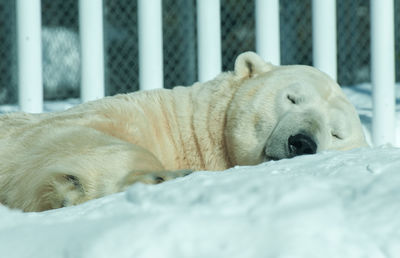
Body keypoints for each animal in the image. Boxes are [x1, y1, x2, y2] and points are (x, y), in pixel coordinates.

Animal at [0, 51, 368, 211]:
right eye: (292, 98)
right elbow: (80, 135)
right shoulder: (130, 114)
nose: (302, 142)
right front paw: (163, 176)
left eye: (336, 132)